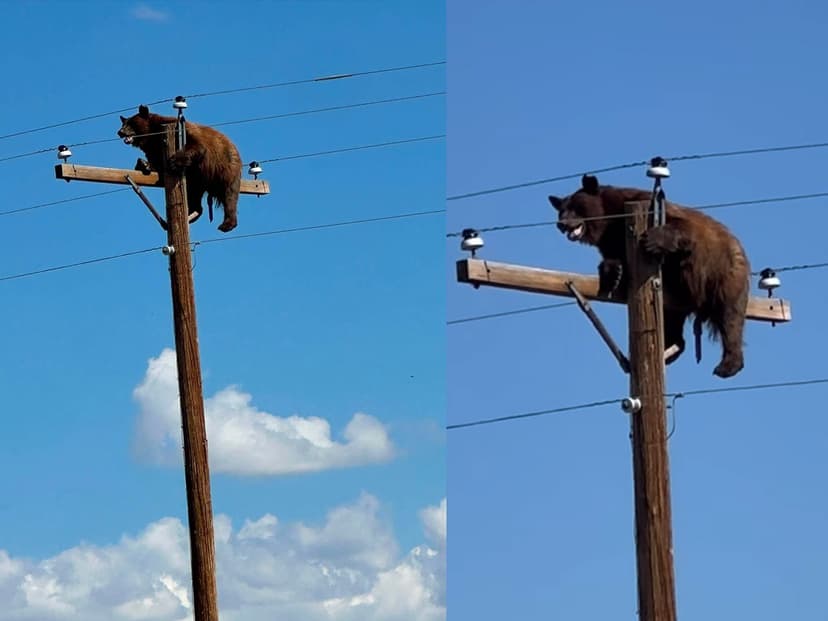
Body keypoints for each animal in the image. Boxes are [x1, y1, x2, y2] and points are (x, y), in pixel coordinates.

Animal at [117, 104, 242, 232]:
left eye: (131, 123)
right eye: (123, 123)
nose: (120, 132)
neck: (152, 135)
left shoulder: (180, 130)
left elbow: (196, 145)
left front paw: (173, 162)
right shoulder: (153, 147)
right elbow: (156, 160)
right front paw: (144, 164)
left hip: (225, 167)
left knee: (229, 195)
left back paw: (227, 224)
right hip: (198, 180)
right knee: (194, 196)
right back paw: (191, 214)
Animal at [548, 174, 750, 378]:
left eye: (575, 207)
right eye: (561, 211)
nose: (561, 224)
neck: (608, 220)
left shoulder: (651, 208)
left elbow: (681, 226)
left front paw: (654, 240)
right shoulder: (611, 241)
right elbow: (616, 260)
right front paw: (612, 275)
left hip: (722, 274)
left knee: (729, 316)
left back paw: (728, 364)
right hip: (674, 298)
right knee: (671, 321)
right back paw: (669, 349)